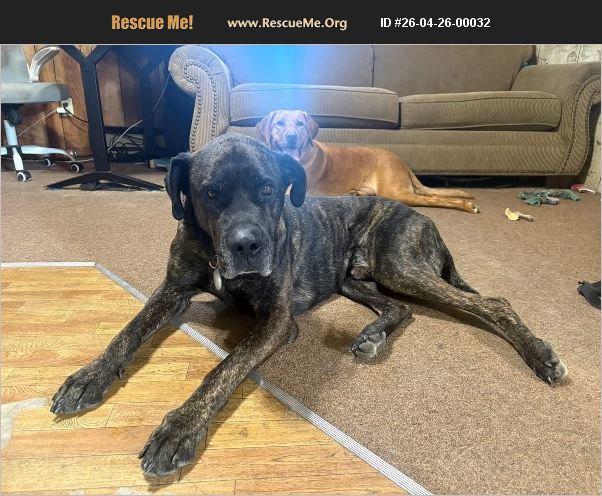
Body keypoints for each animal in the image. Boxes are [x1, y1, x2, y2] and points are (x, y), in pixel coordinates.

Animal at [50, 133, 566, 477]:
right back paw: (371, 336)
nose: (247, 245)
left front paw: (179, 427)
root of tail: (423, 217)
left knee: (493, 302)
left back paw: (540, 355)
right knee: (399, 309)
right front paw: (89, 377)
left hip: (399, 265)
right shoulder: (172, 291)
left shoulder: (278, 322)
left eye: (267, 188)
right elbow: (128, 331)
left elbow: (224, 369)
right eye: (210, 192)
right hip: (352, 279)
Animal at [256, 109, 479, 213]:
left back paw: (467, 205)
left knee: (432, 198)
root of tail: (400, 160)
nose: (291, 137)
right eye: (279, 123)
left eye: (300, 124)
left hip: (396, 192)